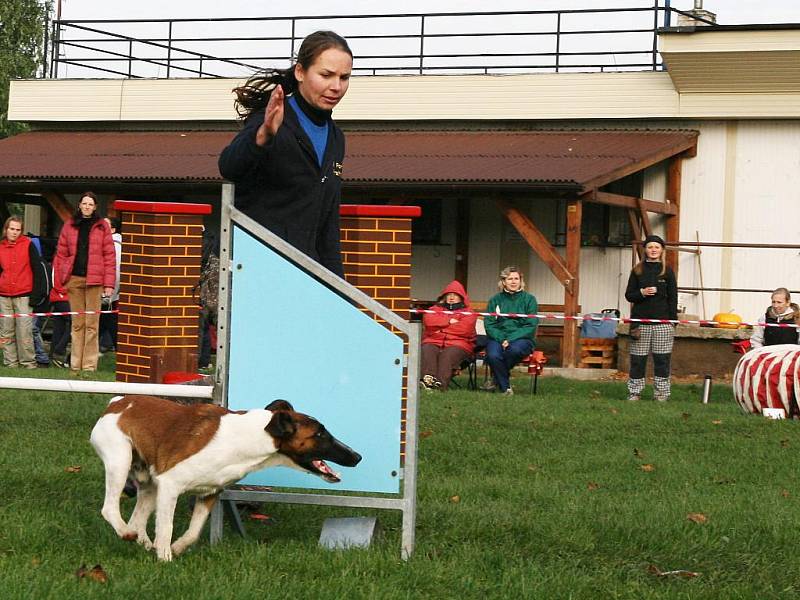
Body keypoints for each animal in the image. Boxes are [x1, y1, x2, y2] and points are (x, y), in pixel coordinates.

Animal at [89, 396, 360, 560]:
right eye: (320, 434)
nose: (357, 456)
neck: (254, 437)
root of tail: (117, 402)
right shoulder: (170, 485)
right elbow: (167, 527)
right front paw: (165, 557)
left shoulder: (209, 493)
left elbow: (193, 532)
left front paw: (175, 548)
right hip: (121, 461)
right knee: (109, 509)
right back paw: (127, 534)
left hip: (148, 483)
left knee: (136, 521)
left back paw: (141, 541)